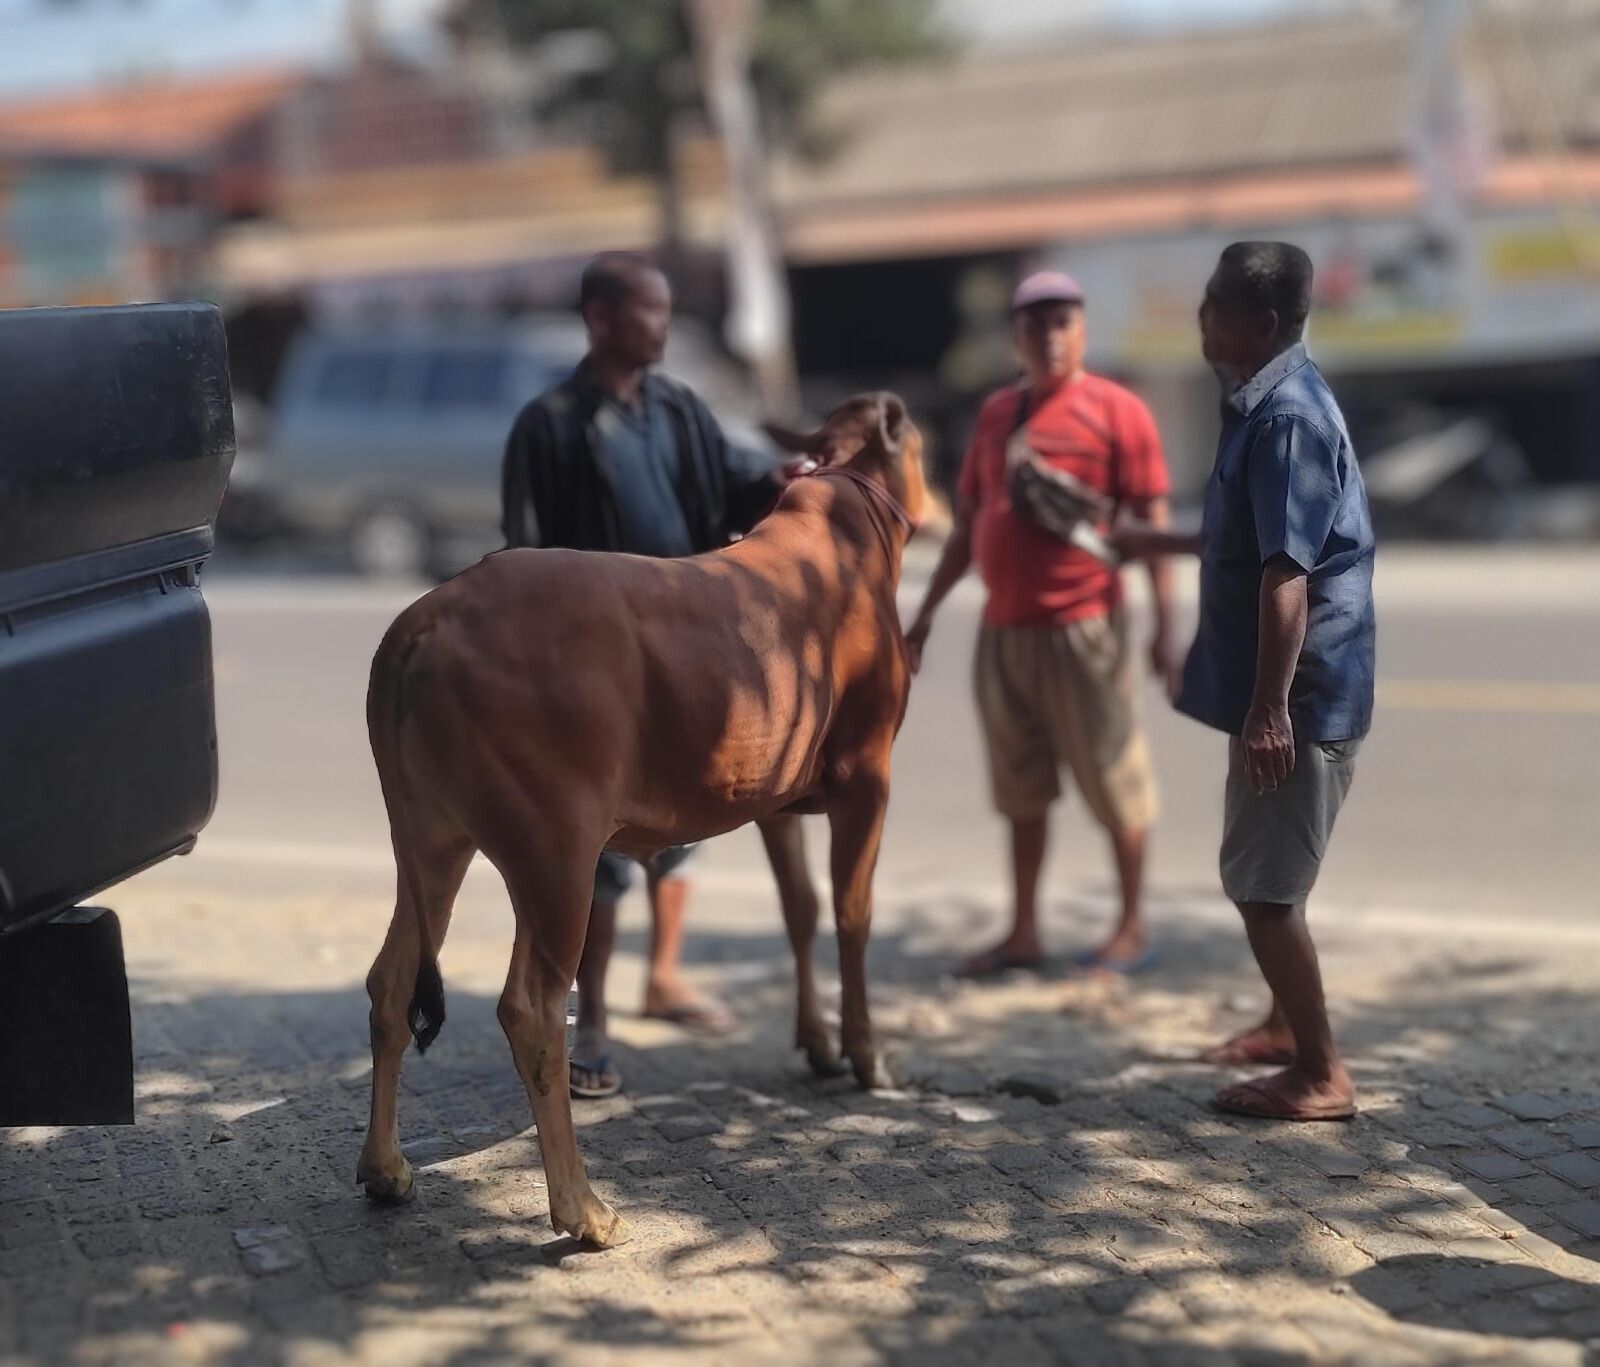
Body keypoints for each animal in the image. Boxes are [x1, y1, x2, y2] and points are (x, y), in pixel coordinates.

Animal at [350, 390, 928, 1248]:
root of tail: (427, 618)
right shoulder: (868, 776)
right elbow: (852, 915)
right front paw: (866, 1055)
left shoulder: (776, 795)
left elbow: (799, 909)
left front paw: (818, 1042)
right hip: (555, 849)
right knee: (533, 1006)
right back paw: (583, 1208)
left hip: (432, 837)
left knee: (392, 981)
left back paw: (385, 1168)